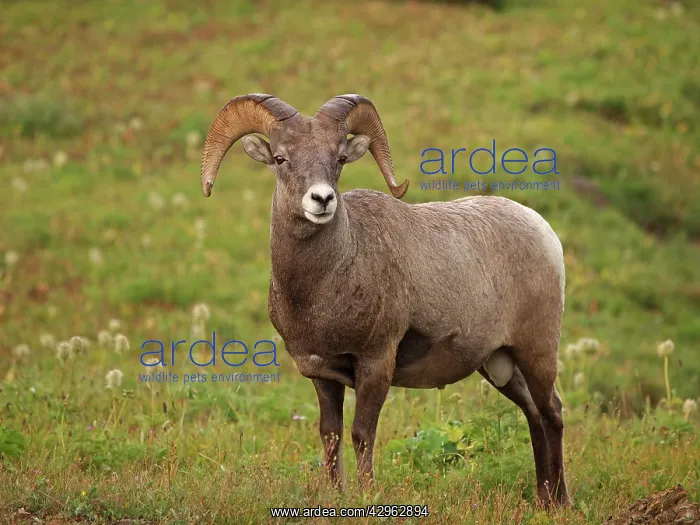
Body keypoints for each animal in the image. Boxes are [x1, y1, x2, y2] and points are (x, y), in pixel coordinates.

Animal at [199, 93, 572, 507]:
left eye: (339, 158)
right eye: (281, 158)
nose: (322, 199)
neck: (322, 290)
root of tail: (544, 231)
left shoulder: (376, 364)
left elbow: (362, 434)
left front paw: (367, 494)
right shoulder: (322, 375)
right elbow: (330, 436)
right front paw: (337, 493)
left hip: (536, 352)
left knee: (552, 414)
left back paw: (560, 503)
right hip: (499, 364)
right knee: (534, 416)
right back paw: (544, 498)